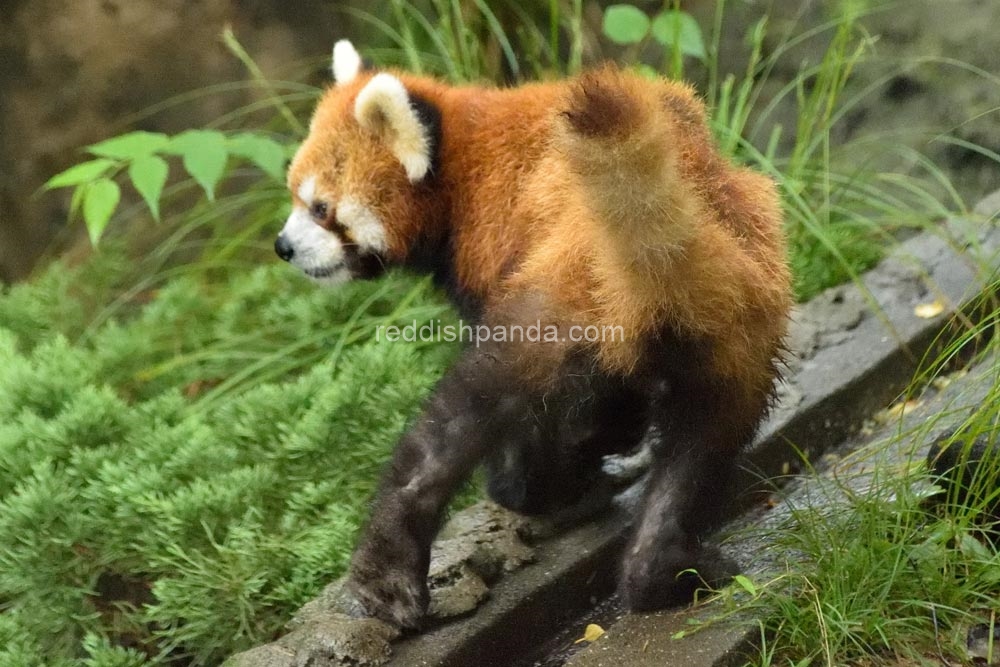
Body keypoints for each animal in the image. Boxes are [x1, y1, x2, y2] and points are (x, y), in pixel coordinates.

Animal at [274, 41, 788, 632]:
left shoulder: (495, 249)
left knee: (466, 415)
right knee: (704, 443)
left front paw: (546, 482)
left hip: (562, 298)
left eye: (320, 207)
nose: (282, 246)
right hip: (739, 330)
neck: (460, 166)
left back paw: (396, 568)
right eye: (294, 196)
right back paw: (662, 571)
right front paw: (598, 456)